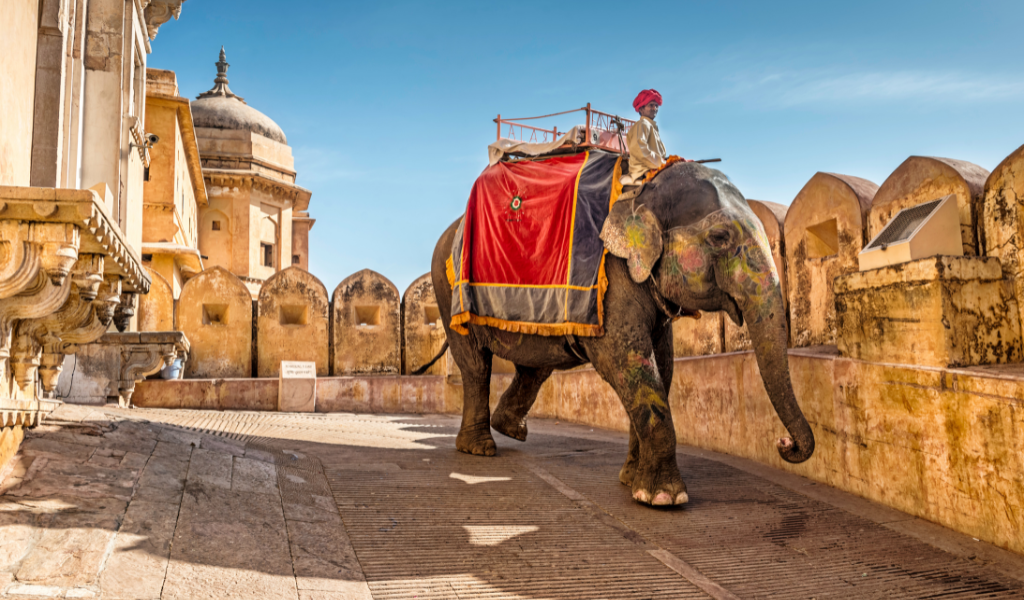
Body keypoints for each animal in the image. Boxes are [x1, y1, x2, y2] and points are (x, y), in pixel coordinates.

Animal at [423, 160, 814, 506]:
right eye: (719, 237)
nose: (784, 444)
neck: (644, 189)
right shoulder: (611, 276)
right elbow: (628, 361)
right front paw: (663, 498)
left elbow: (662, 367)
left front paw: (632, 481)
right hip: (446, 287)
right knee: (476, 366)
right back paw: (479, 448)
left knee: (535, 366)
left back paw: (510, 430)